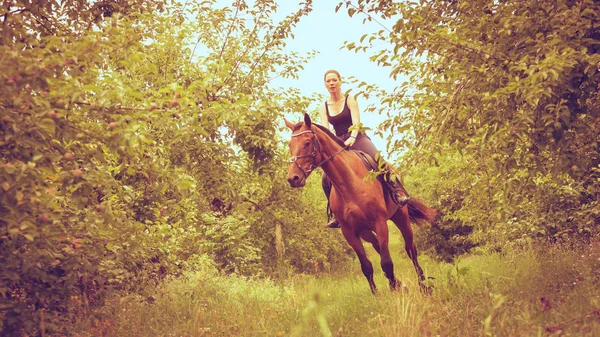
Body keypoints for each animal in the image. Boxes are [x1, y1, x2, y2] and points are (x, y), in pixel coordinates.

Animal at [284, 114, 434, 292]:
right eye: (290, 145)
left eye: (307, 143)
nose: (293, 178)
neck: (349, 183)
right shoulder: (349, 232)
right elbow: (367, 267)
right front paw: (382, 292)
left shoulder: (380, 222)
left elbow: (387, 263)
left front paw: (394, 290)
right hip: (365, 230)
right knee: (378, 246)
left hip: (400, 216)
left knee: (410, 249)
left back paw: (424, 285)